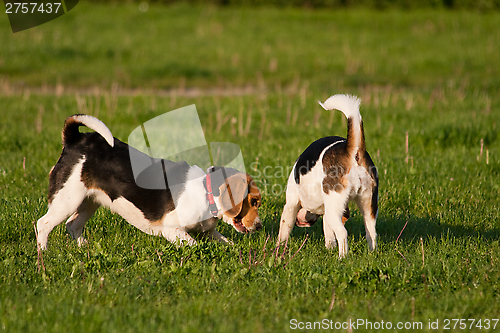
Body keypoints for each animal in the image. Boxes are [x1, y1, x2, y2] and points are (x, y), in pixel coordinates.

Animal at [278, 94, 378, 258]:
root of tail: (352, 152)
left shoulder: (291, 204)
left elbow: (283, 230)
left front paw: (278, 248)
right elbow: (329, 234)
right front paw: (329, 248)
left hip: (335, 206)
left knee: (343, 233)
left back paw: (342, 257)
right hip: (368, 205)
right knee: (372, 233)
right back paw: (372, 254)